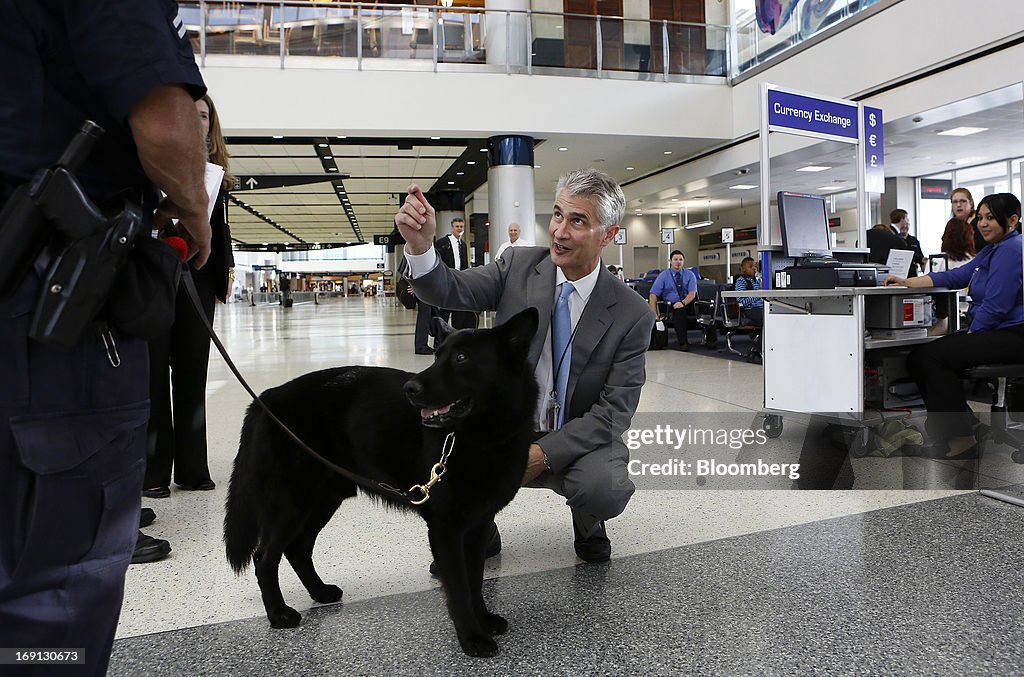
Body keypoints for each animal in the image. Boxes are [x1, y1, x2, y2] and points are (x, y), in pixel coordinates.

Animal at [224, 307, 540, 655]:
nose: (410, 389)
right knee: (265, 557)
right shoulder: (446, 530)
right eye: (437, 355)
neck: (480, 439)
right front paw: (472, 637)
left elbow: (475, 580)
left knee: (299, 548)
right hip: (291, 505)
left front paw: (483, 620)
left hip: (322, 501)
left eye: (461, 357)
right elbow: (458, 588)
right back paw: (278, 613)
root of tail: (265, 399)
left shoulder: (478, 526)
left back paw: (320, 592)